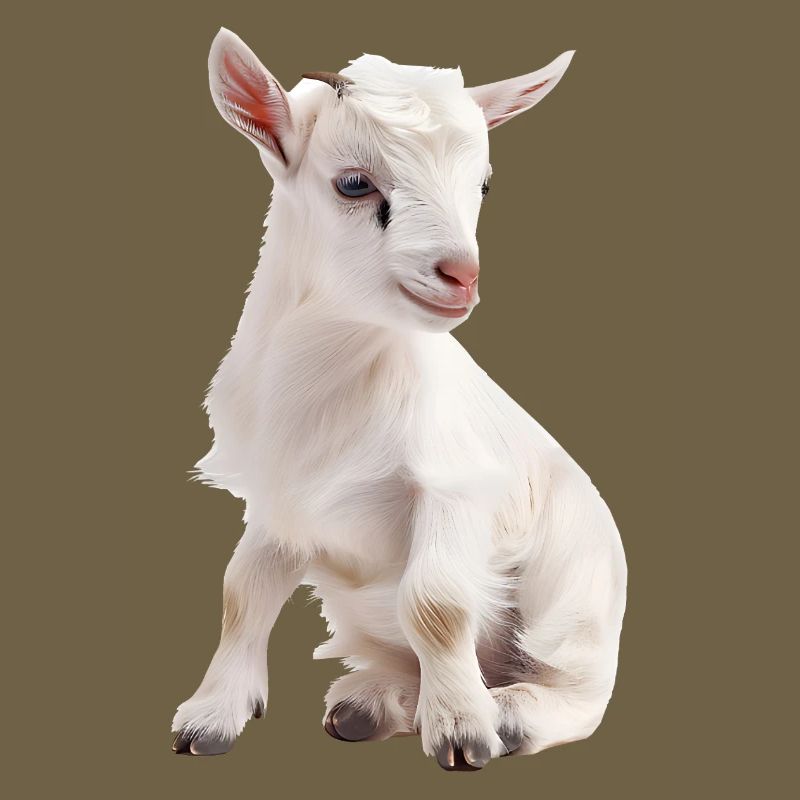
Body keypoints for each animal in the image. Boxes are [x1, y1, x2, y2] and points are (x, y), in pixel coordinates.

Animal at [171, 28, 627, 771]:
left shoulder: (451, 486)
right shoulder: (280, 502)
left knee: (579, 688)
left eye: (483, 183)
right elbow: (242, 591)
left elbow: (435, 604)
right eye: (355, 183)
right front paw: (209, 718)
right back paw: (373, 704)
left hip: (572, 597)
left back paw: (509, 712)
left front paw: (465, 732)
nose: (462, 275)